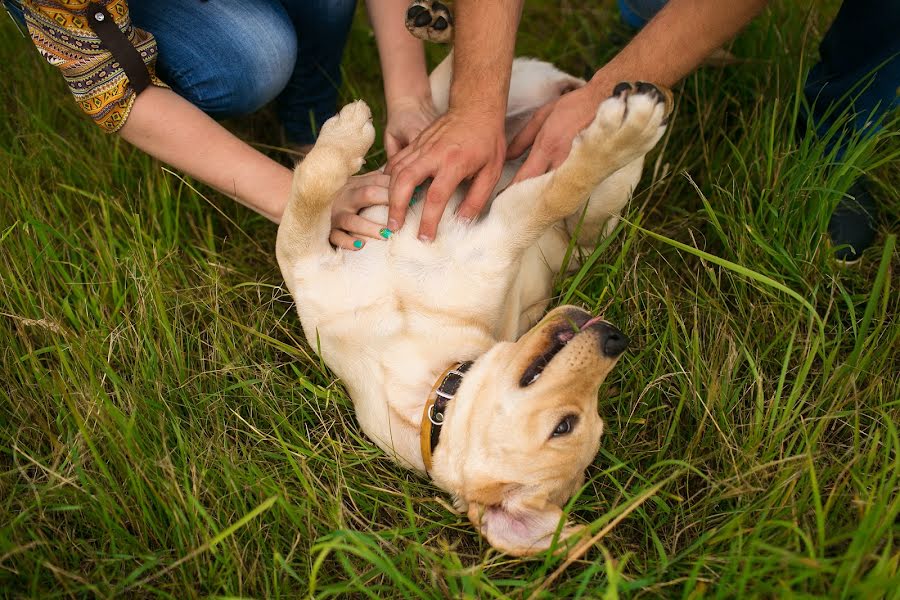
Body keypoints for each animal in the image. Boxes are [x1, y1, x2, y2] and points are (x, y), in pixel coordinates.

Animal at [278, 0, 672, 556]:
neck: (422, 381)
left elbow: (562, 187)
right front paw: (342, 139)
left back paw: (627, 122)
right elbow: (309, 188)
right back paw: (436, 21)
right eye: (565, 426)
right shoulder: (305, 265)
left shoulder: (504, 229)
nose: (618, 338)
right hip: (462, 111)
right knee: (447, 94)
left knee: (585, 173)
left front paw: (620, 135)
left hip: (600, 212)